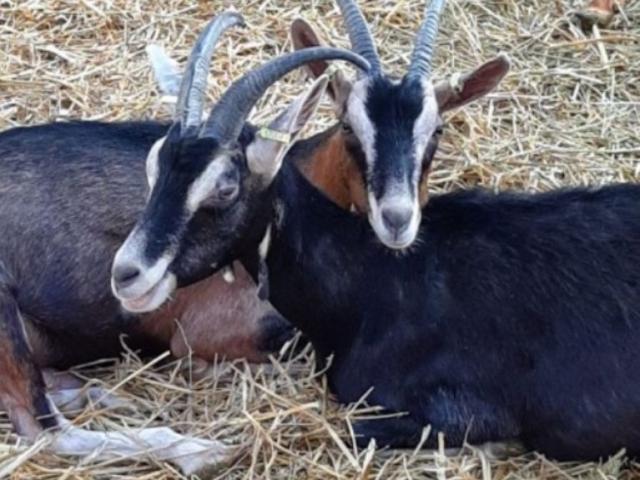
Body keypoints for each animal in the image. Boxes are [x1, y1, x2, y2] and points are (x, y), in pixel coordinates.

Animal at [0, 12, 368, 476]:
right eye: (153, 168)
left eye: (225, 187)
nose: (125, 275)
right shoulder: (206, 332)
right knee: (43, 429)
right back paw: (198, 449)